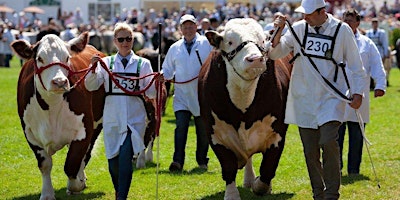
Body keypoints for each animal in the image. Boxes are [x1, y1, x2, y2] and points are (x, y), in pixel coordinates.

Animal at [11, 32, 106, 199]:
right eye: (40, 58)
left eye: (67, 57)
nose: (60, 81)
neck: (51, 106)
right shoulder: (30, 134)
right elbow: (45, 164)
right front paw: (47, 193)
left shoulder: (85, 130)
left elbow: (72, 163)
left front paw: (77, 184)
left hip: (97, 125)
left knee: (85, 155)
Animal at [198, 18, 292, 199]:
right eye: (230, 42)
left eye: (263, 40)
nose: (255, 59)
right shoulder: (215, 134)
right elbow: (228, 166)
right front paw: (232, 194)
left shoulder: (278, 132)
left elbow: (268, 168)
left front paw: (261, 186)